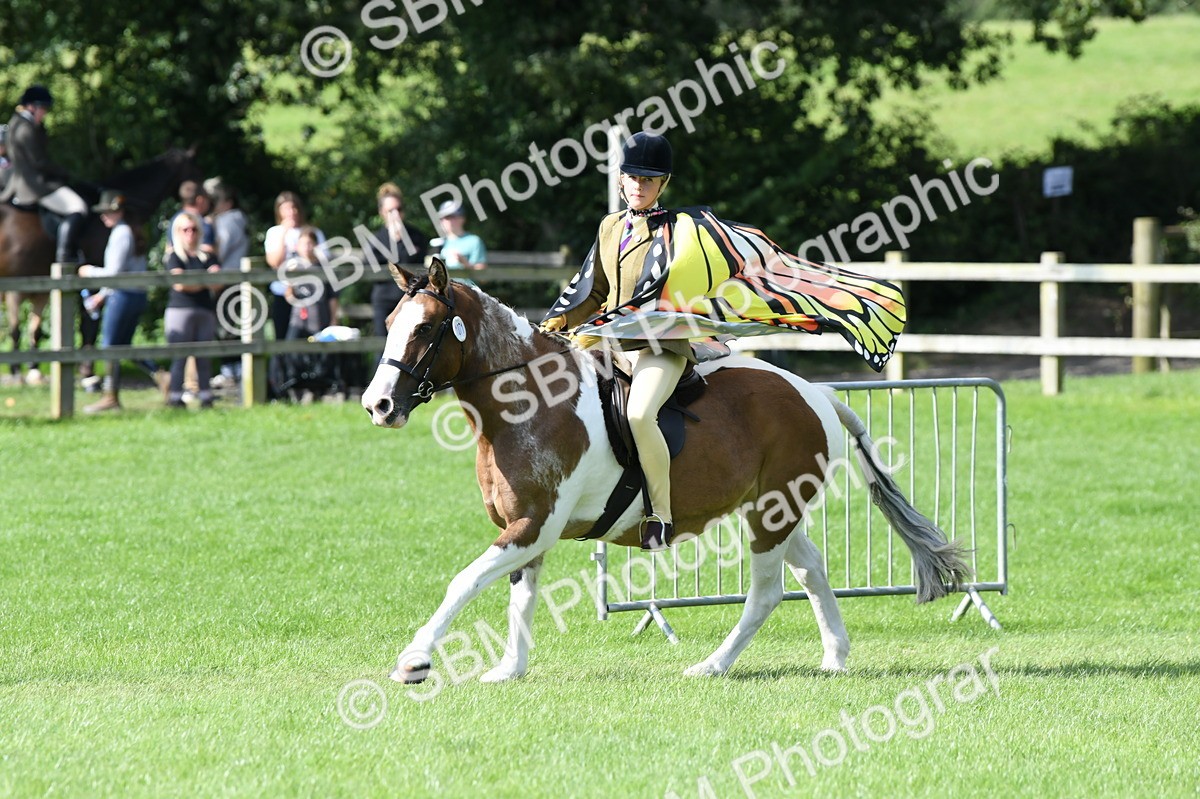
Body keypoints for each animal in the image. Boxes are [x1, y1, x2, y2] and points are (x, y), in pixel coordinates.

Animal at [0, 146, 202, 379]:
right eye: (196, 172)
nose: (203, 202)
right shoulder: (93, 277)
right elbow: (90, 325)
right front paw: (86, 370)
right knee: (16, 328)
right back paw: (17, 370)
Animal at [361, 258, 970, 683]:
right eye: (389, 322)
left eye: (425, 328)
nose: (378, 405)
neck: (526, 401)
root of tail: (817, 393)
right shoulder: (527, 527)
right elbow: (520, 595)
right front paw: (509, 669)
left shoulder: (535, 524)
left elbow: (465, 581)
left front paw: (414, 661)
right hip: (775, 508)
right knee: (811, 571)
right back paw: (835, 657)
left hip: (770, 516)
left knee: (768, 590)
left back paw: (713, 666)